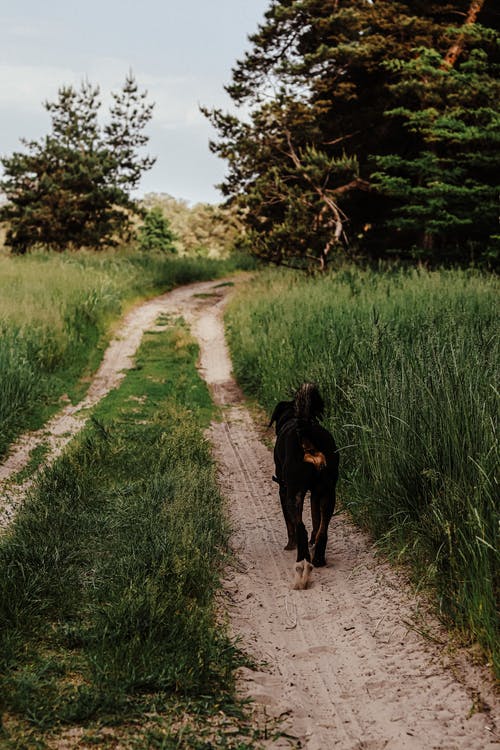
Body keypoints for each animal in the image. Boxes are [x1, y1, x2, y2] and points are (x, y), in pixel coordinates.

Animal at [270, 384, 340, 572]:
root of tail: (306, 432)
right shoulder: (316, 493)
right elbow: (316, 520)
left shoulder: (283, 490)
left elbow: (290, 524)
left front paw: (290, 544)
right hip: (328, 493)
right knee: (323, 530)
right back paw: (319, 558)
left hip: (293, 494)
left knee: (300, 528)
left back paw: (302, 557)